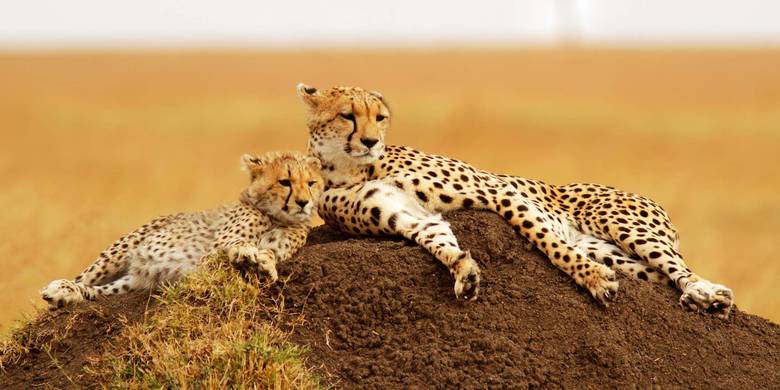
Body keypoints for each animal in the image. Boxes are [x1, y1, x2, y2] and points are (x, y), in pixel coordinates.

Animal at [41, 152, 322, 308]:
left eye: (311, 183)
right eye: (284, 182)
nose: (303, 202)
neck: (275, 216)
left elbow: (271, 253)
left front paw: (262, 264)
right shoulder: (211, 255)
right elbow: (233, 248)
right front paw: (246, 254)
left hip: (133, 282)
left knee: (97, 292)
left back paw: (69, 296)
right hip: (120, 251)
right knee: (82, 279)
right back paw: (61, 289)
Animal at [296, 84, 736, 318]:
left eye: (380, 117)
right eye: (347, 115)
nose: (371, 141)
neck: (351, 167)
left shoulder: (498, 192)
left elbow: (547, 242)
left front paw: (591, 279)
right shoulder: (412, 217)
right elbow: (440, 242)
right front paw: (465, 273)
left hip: (624, 225)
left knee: (682, 268)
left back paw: (705, 294)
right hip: (618, 256)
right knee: (658, 276)